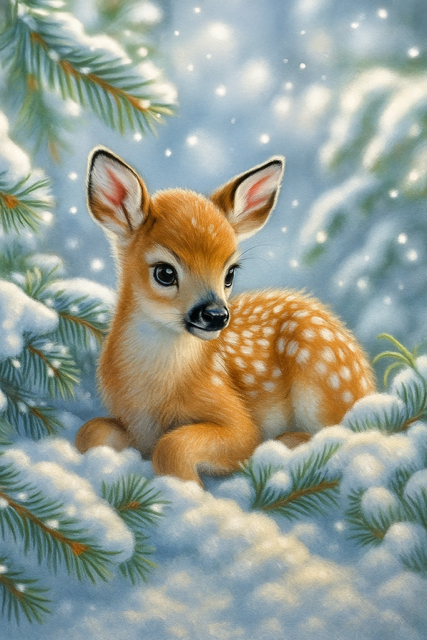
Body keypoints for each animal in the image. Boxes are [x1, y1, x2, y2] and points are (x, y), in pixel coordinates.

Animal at [75, 147, 375, 486]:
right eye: (165, 272)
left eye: (230, 273)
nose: (216, 314)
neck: (153, 395)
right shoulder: (133, 428)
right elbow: (89, 431)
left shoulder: (236, 418)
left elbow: (174, 444)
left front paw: (187, 490)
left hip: (324, 375)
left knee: (343, 430)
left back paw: (286, 442)